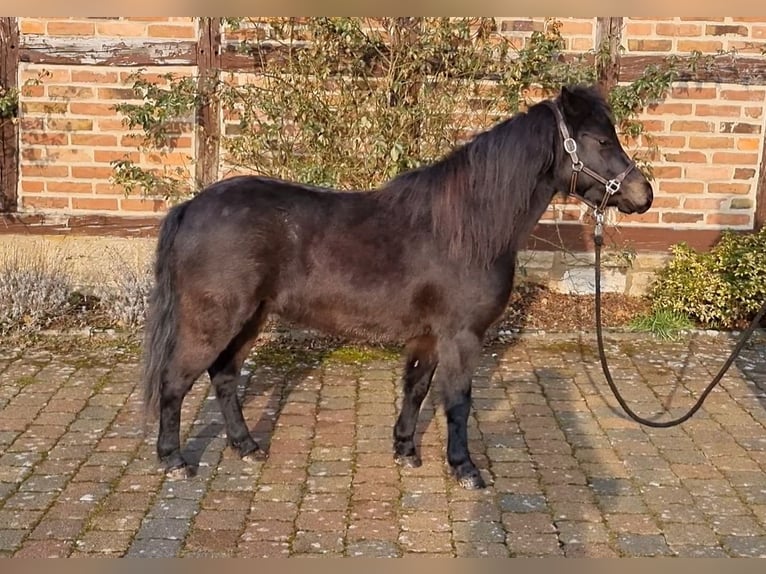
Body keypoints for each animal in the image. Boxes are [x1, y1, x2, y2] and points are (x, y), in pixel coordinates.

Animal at [142, 85, 656, 490]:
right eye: (599, 140)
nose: (643, 195)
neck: (466, 227)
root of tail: (190, 206)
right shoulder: (462, 336)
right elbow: (458, 402)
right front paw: (464, 468)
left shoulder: (428, 337)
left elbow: (416, 388)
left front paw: (406, 449)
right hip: (214, 320)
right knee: (176, 381)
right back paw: (174, 460)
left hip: (251, 318)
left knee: (225, 377)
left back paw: (247, 446)